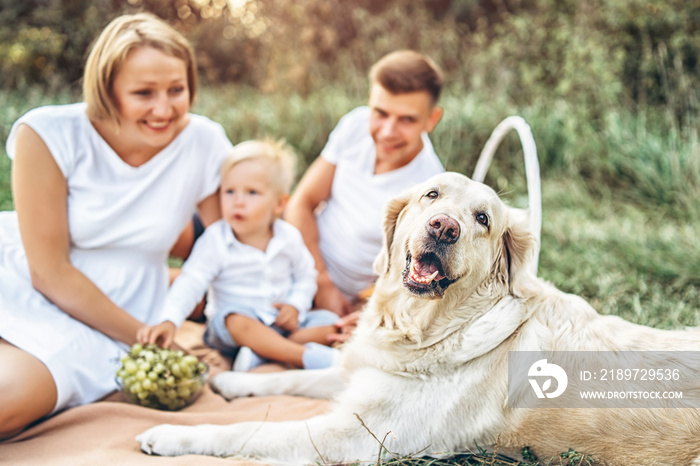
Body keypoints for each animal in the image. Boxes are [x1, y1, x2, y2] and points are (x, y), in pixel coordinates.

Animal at [137, 172, 700, 466]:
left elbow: (249, 432)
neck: (421, 327)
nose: (444, 227)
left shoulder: (355, 437)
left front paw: (170, 436)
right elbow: (296, 376)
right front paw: (230, 381)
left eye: (483, 219)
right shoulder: (363, 372)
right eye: (432, 195)